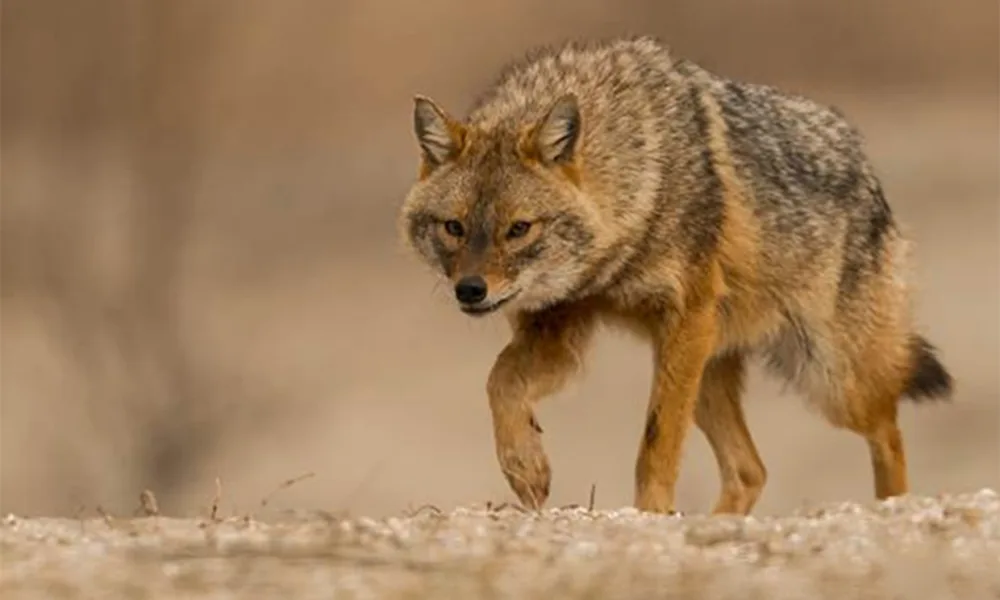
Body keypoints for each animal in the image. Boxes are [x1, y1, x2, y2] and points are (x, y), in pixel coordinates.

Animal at [397, 35, 953, 515]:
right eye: (454, 228)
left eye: (518, 229)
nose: (470, 290)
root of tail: (866, 166)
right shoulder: (560, 331)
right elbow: (500, 382)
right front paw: (526, 468)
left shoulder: (686, 316)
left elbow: (656, 441)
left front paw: (651, 512)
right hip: (708, 373)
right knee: (751, 471)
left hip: (828, 378)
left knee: (888, 429)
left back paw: (895, 510)